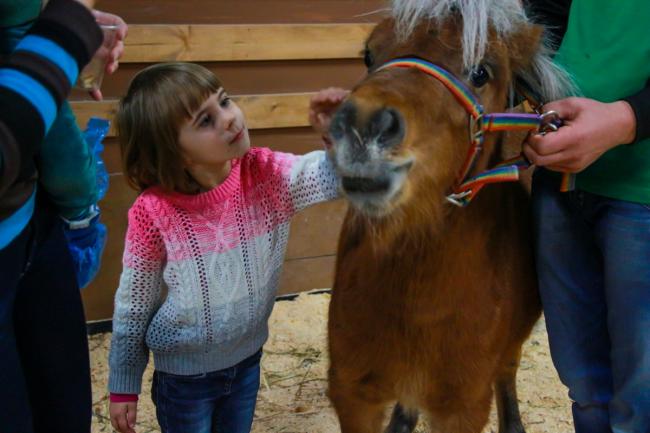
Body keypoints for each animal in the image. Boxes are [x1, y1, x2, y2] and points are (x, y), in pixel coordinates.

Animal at [326, 0, 568, 432]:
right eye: (369, 54)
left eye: (481, 72)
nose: (363, 126)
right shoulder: (352, 392)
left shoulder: (463, 405)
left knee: (507, 370)